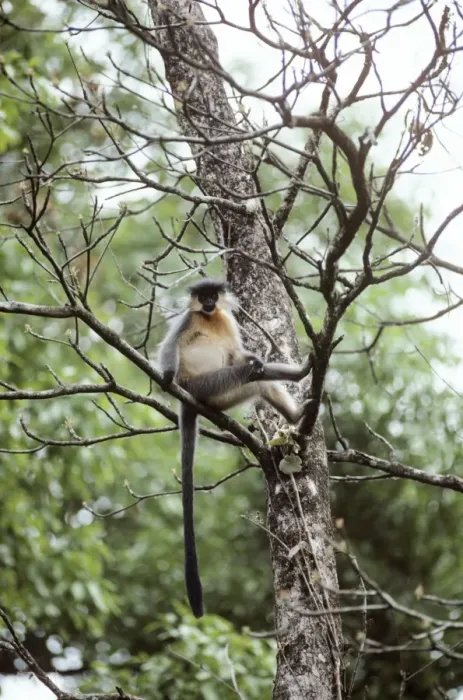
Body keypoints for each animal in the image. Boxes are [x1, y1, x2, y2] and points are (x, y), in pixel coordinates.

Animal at [158, 278, 311, 618]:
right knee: (244, 375)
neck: (210, 318)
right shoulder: (188, 320)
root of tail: (190, 398)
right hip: (204, 386)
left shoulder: (226, 321)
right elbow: (170, 346)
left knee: (257, 377)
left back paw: (298, 395)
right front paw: (165, 376)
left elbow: (240, 355)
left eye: (213, 296)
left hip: (222, 396)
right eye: (203, 297)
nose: (209, 303)